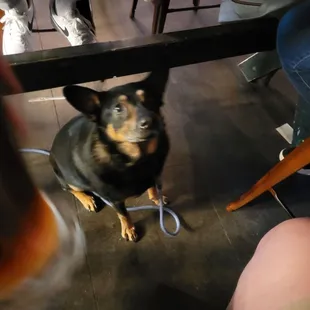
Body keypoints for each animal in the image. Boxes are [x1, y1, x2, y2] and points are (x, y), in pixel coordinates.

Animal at [49, 71, 170, 242]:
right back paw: (87, 199)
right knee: (70, 189)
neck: (136, 159)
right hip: (69, 179)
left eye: (150, 99)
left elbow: (152, 187)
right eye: (118, 108)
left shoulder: (154, 176)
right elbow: (123, 214)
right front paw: (129, 229)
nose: (151, 120)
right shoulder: (115, 199)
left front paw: (157, 198)